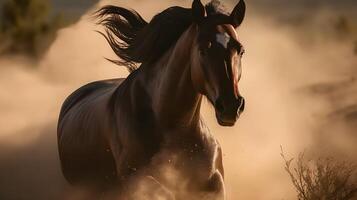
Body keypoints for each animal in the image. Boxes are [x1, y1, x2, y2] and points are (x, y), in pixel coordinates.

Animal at [57, 0, 245, 198]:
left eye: (240, 51)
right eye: (203, 50)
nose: (231, 106)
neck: (174, 128)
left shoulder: (213, 180)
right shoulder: (136, 179)